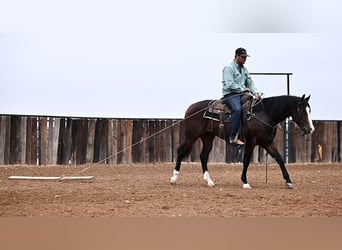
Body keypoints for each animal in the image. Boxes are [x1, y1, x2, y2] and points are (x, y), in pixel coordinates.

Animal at [171, 94, 316, 188]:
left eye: (309, 110)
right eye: (303, 111)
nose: (310, 129)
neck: (264, 114)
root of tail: (191, 107)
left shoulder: (267, 143)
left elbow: (279, 159)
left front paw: (288, 181)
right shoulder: (251, 142)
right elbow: (246, 161)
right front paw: (245, 182)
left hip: (208, 137)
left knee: (203, 156)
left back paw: (209, 181)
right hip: (191, 136)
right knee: (181, 152)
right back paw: (174, 178)